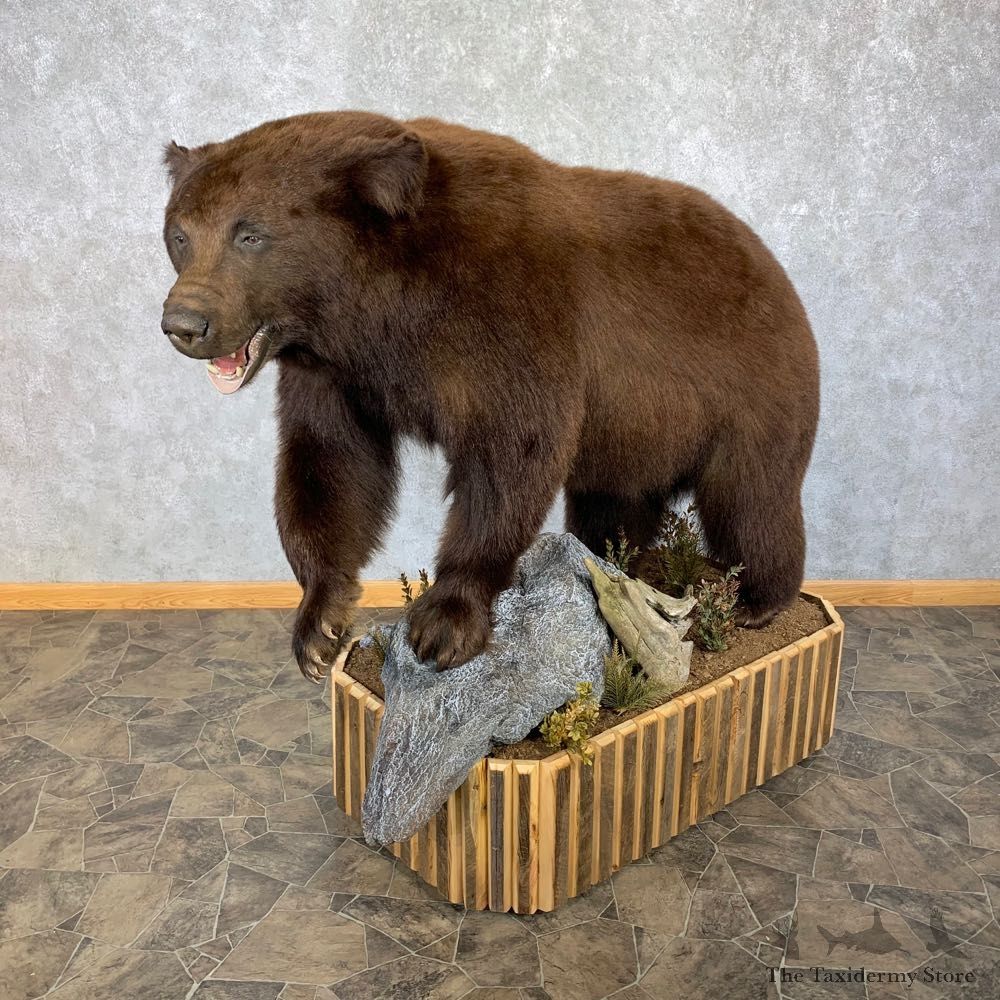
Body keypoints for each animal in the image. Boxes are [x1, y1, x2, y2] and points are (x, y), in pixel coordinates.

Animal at [160, 111, 819, 682]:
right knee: (614, 498)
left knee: (750, 497)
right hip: (635, 435)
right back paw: (616, 559)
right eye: (179, 234)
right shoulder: (337, 373)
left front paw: (444, 622)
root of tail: (774, 267)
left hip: (751, 388)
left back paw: (758, 599)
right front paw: (320, 625)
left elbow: (512, 451)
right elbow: (331, 461)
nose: (184, 322)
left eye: (250, 234)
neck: (378, 306)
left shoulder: (508, 311)